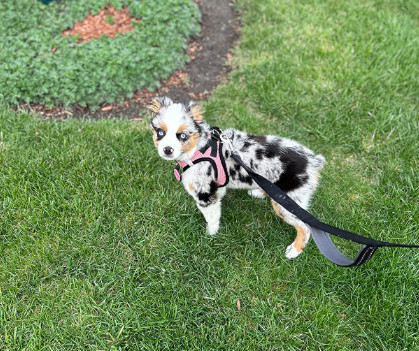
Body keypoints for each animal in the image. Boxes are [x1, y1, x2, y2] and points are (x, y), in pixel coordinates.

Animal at [149, 96, 326, 258]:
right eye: (160, 132)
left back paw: (294, 251)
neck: (198, 149)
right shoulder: (216, 188)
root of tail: (313, 161)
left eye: (183, 135)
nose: (167, 150)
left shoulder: (205, 194)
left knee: (305, 228)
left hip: (289, 203)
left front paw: (210, 235)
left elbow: (212, 218)